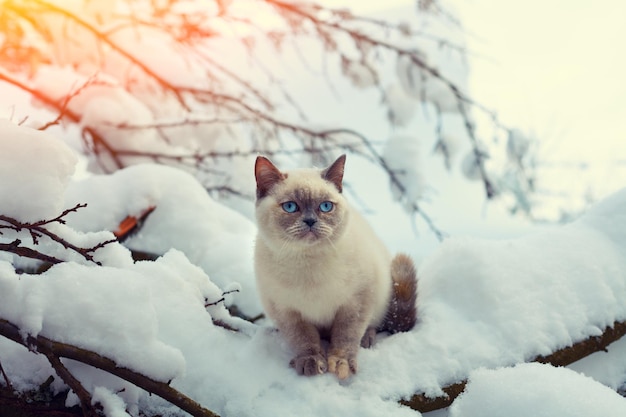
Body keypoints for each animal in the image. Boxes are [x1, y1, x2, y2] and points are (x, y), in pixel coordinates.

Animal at [254, 154, 414, 378]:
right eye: (291, 207)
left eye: (325, 207)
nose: (310, 221)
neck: (308, 263)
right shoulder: (286, 311)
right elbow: (303, 339)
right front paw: (311, 362)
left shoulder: (356, 302)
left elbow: (345, 337)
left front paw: (339, 364)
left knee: (373, 326)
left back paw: (366, 339)